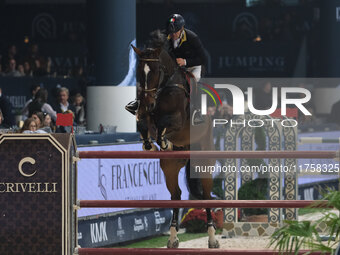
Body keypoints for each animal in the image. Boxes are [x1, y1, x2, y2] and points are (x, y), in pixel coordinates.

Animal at [131, 30, 219, 248]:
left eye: (156, 71)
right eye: (139, 72)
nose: (148, 103)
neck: (164, 87)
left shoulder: (177, 120)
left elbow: (164, 124)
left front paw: (162, 142)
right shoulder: (144, 115)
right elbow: (144, 125)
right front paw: (150, 145)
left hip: (204, 162)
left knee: (206, 195)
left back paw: (212, 238)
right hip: (170, 166)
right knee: (176, 195)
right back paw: (172, 238)